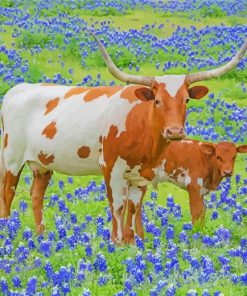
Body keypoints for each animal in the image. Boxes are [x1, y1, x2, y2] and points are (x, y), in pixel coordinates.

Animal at [0, 32, 246, 244]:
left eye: (186, 100)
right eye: (157, 100)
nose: (175, 132)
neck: (141, 126)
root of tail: (17, 89)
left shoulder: (142, 175)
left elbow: (134, 208)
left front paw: (131, 242)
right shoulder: (111, 168)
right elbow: (118, 206)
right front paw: (116, 242)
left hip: (42, 163)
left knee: (36, 195)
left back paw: (41, 235)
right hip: (12, 158)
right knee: (7, 193)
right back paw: (7, 230)